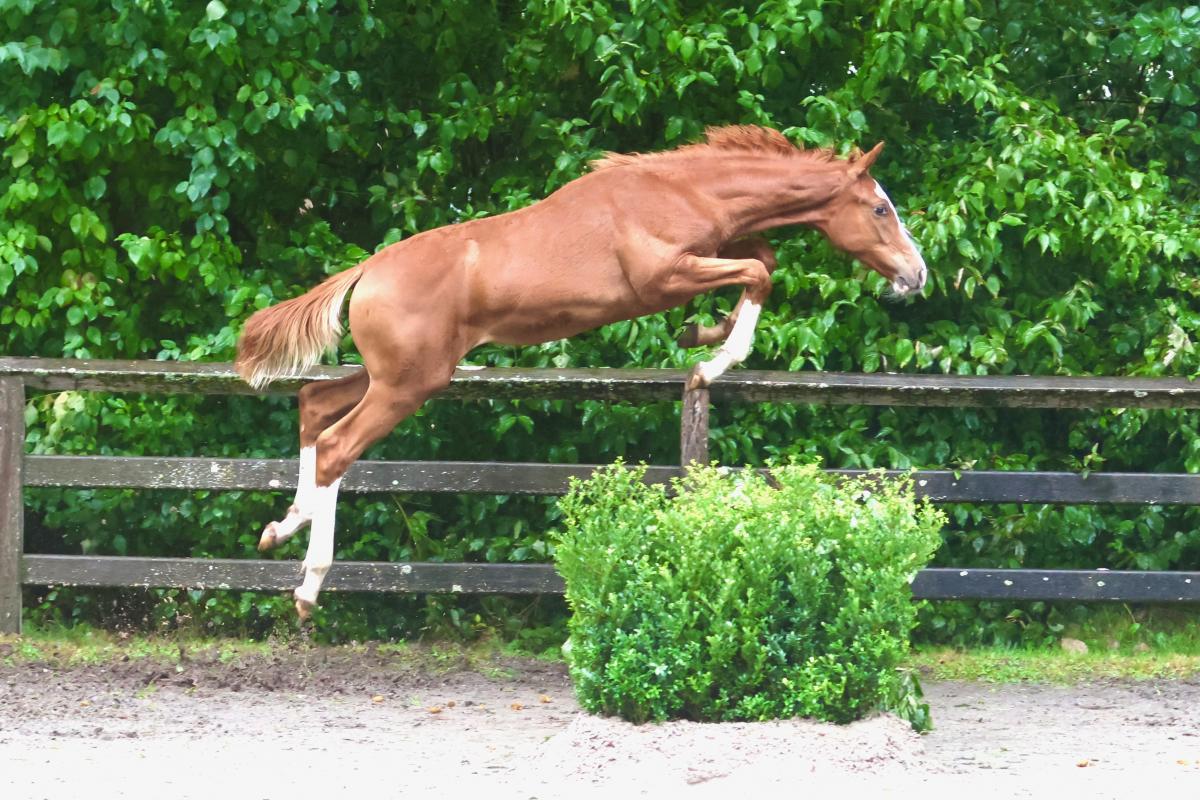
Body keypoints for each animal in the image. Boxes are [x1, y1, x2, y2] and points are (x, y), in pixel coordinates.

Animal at [234, 125, 927, 618]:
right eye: (879, 209)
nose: (916, 274)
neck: (681, 191)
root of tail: (367, 271)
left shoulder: (704, 259)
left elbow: (761, 259)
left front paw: (701, 334)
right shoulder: (660, 278)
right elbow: (759, 269)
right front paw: (711, 362)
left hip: (400, 375)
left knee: (313, 404)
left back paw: (280, 527)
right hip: (408, 385)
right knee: (336, 445)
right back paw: (308, 588)